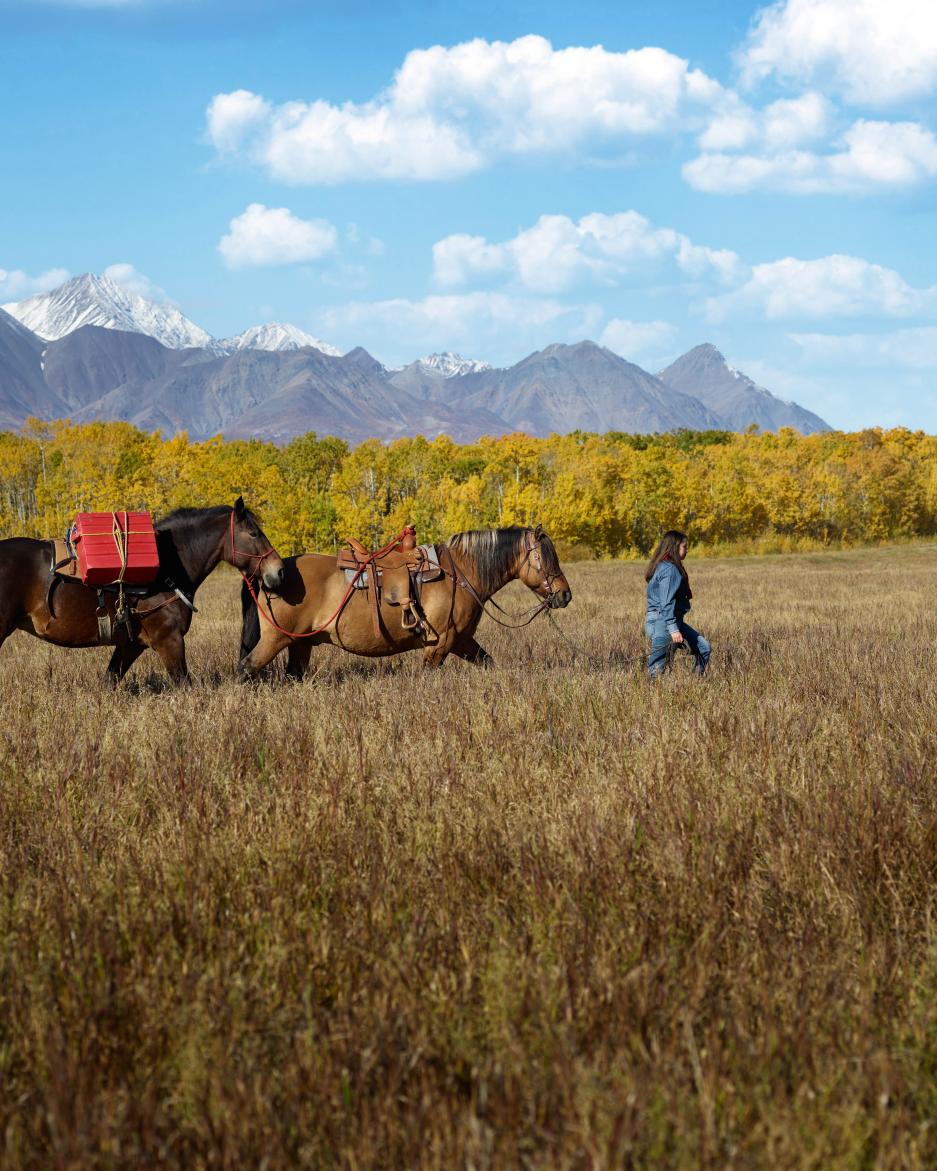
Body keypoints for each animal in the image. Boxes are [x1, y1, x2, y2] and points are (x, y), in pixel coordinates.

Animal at [0, 497, 284, 685]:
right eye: (254, 533)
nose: (279, 570)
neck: (168, 568)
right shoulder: (169, 641)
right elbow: (185, 685)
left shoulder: (131, 645)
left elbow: (110, 679)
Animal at [237, 524, 572, 681]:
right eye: (545, 558)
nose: (565, 594)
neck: (461, 574)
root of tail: (272, 574)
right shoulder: (440, 643)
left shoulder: (462, 641)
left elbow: (488, 662)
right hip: (275, 639)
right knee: (246, 668)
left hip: (300, 643)